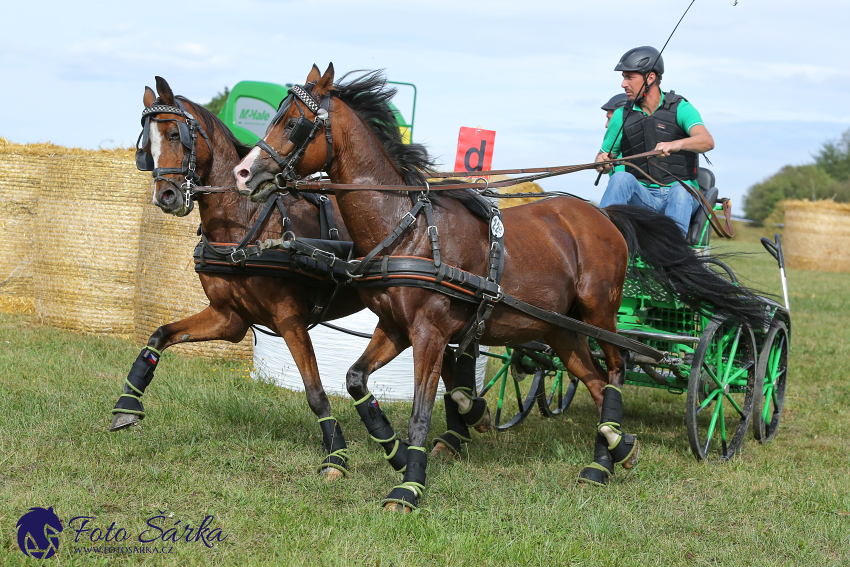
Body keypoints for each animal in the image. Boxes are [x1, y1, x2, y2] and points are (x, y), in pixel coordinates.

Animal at [230, 64, 760, 512]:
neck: (409, 226)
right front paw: (404, 450)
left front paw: (409, 485)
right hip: (560, 329)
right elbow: (358, 381)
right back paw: (612, 453)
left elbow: (421, 410)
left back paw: (611, 446)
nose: (242, 173)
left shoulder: (429, 332)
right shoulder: (395, 328)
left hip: (600, 312)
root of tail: (603, 216)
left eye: (293, 123)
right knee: (591, 378)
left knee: (617, 367)